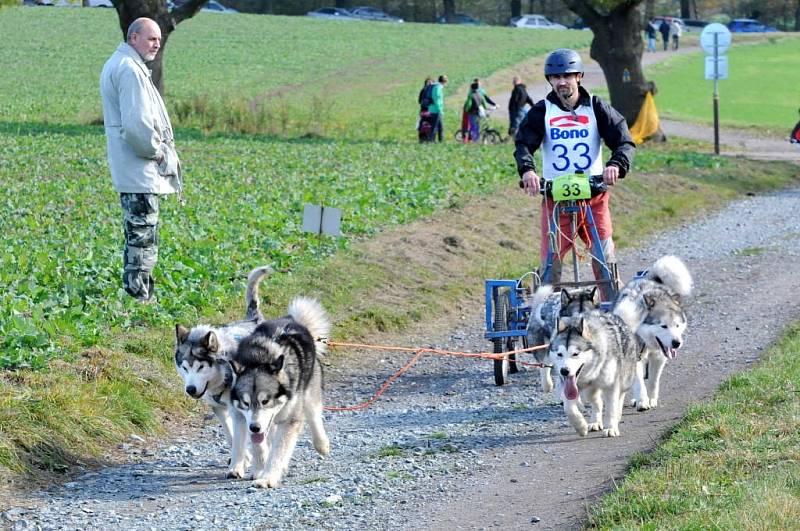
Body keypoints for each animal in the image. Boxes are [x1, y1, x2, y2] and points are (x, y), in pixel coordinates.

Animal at [173, 268, 270, 472]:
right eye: (185, 367)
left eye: (201, 366)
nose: (190, 389)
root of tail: (253, 318)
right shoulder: (219, 409)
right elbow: (231, 435)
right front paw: (244, 459)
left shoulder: (239, 410)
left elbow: (242, 437)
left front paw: (239, 466)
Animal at [228, 298, 332, 488]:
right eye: (246, 403)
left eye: (265, 401)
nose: (254, 427)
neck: (259, 358)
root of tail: (290, 319)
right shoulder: (242, 415)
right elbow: (257, 445)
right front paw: (259, 469)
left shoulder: (289, 419)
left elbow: (278, 451)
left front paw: (268, 477)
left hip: (309, 393)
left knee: (314, 415)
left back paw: (322, 443)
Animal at [616, 256, 692, 410]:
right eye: (663, 326)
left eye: (677, 325)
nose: (677, 343)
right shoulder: (635, 357)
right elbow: (639, 383)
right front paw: (642, 401)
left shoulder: (659, 357)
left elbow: (653, 381)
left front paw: (652, 399)